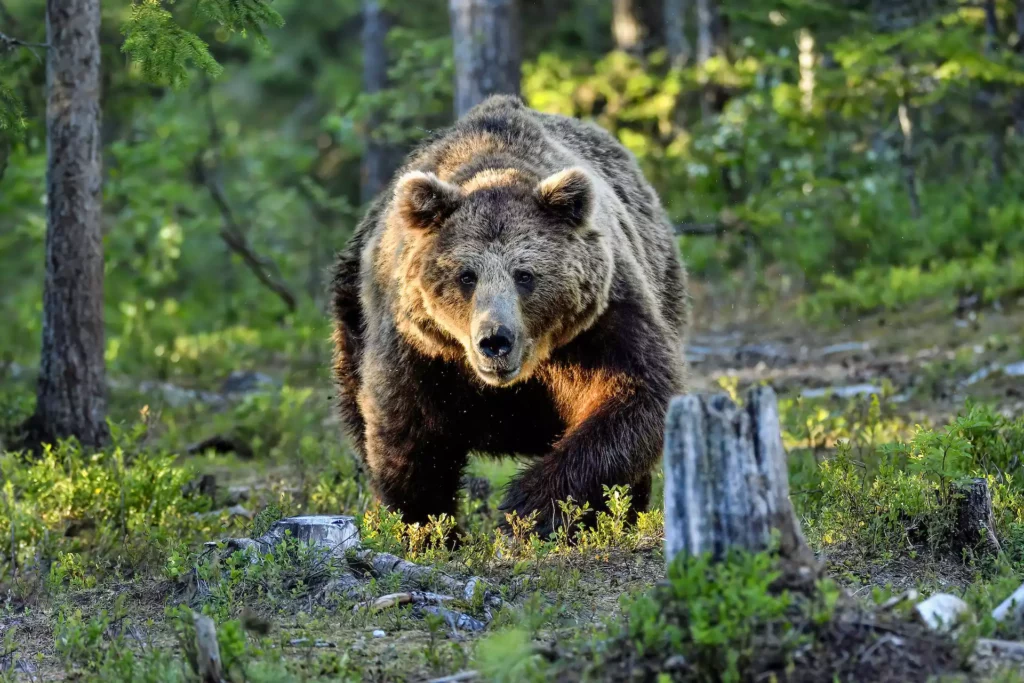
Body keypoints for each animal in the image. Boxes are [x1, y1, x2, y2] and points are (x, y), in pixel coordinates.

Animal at [331, 95, 688, 537]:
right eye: (466, 275)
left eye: (525, 274)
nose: (495, 340)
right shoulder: (419, 344)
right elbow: (407, 428)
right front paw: (427, 527)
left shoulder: (599, 325)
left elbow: (633, 396)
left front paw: (529, 508)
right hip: (350, 319)